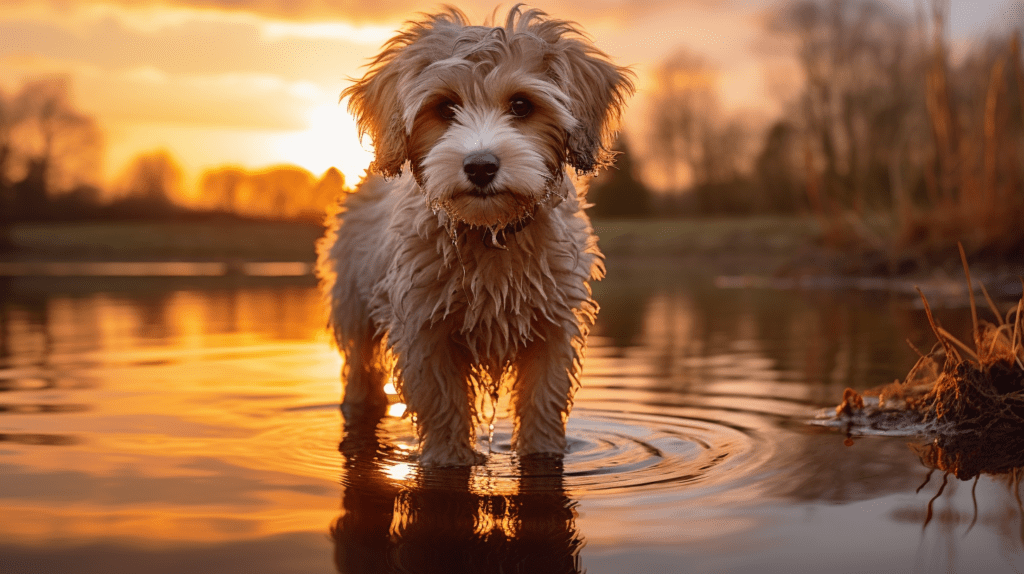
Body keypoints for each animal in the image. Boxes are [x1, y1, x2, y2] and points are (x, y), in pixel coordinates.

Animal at [319, 4, 634, 466]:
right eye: (446, 107)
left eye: (521, 105)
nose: (481, 166)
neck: (491, 234)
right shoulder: (424, 329)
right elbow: (443, 404)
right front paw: (448, 458)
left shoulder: (552, 327)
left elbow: (543, 400)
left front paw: (542, 453)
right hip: (353, 308)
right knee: (361, 373)